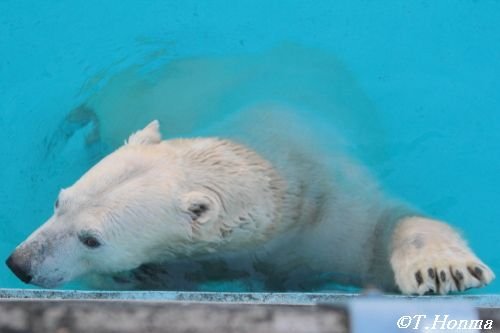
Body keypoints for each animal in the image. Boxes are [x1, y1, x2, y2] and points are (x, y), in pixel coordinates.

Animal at [5, 107, 494, 294]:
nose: (19, 265)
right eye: (59, 202)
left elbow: (383, 233)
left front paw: (443, 269)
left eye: (91, 239)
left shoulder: (326, 217)